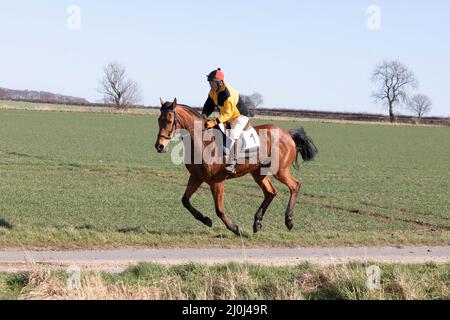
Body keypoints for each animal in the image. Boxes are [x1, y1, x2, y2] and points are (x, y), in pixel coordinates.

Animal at [155, 97, 316, 235]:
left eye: (169, 120)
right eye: (159, 120)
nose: (159, 146)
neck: (202, 141)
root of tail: (288, 135)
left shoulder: (217, 181)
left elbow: (219, 209)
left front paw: (235, 228)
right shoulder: (196, 177)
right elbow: (185, 201)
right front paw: (206, 220)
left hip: (280, 170)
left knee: (294, 186)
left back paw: (288, 220)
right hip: (258, 173)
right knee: (271, 192)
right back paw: (257, 222)